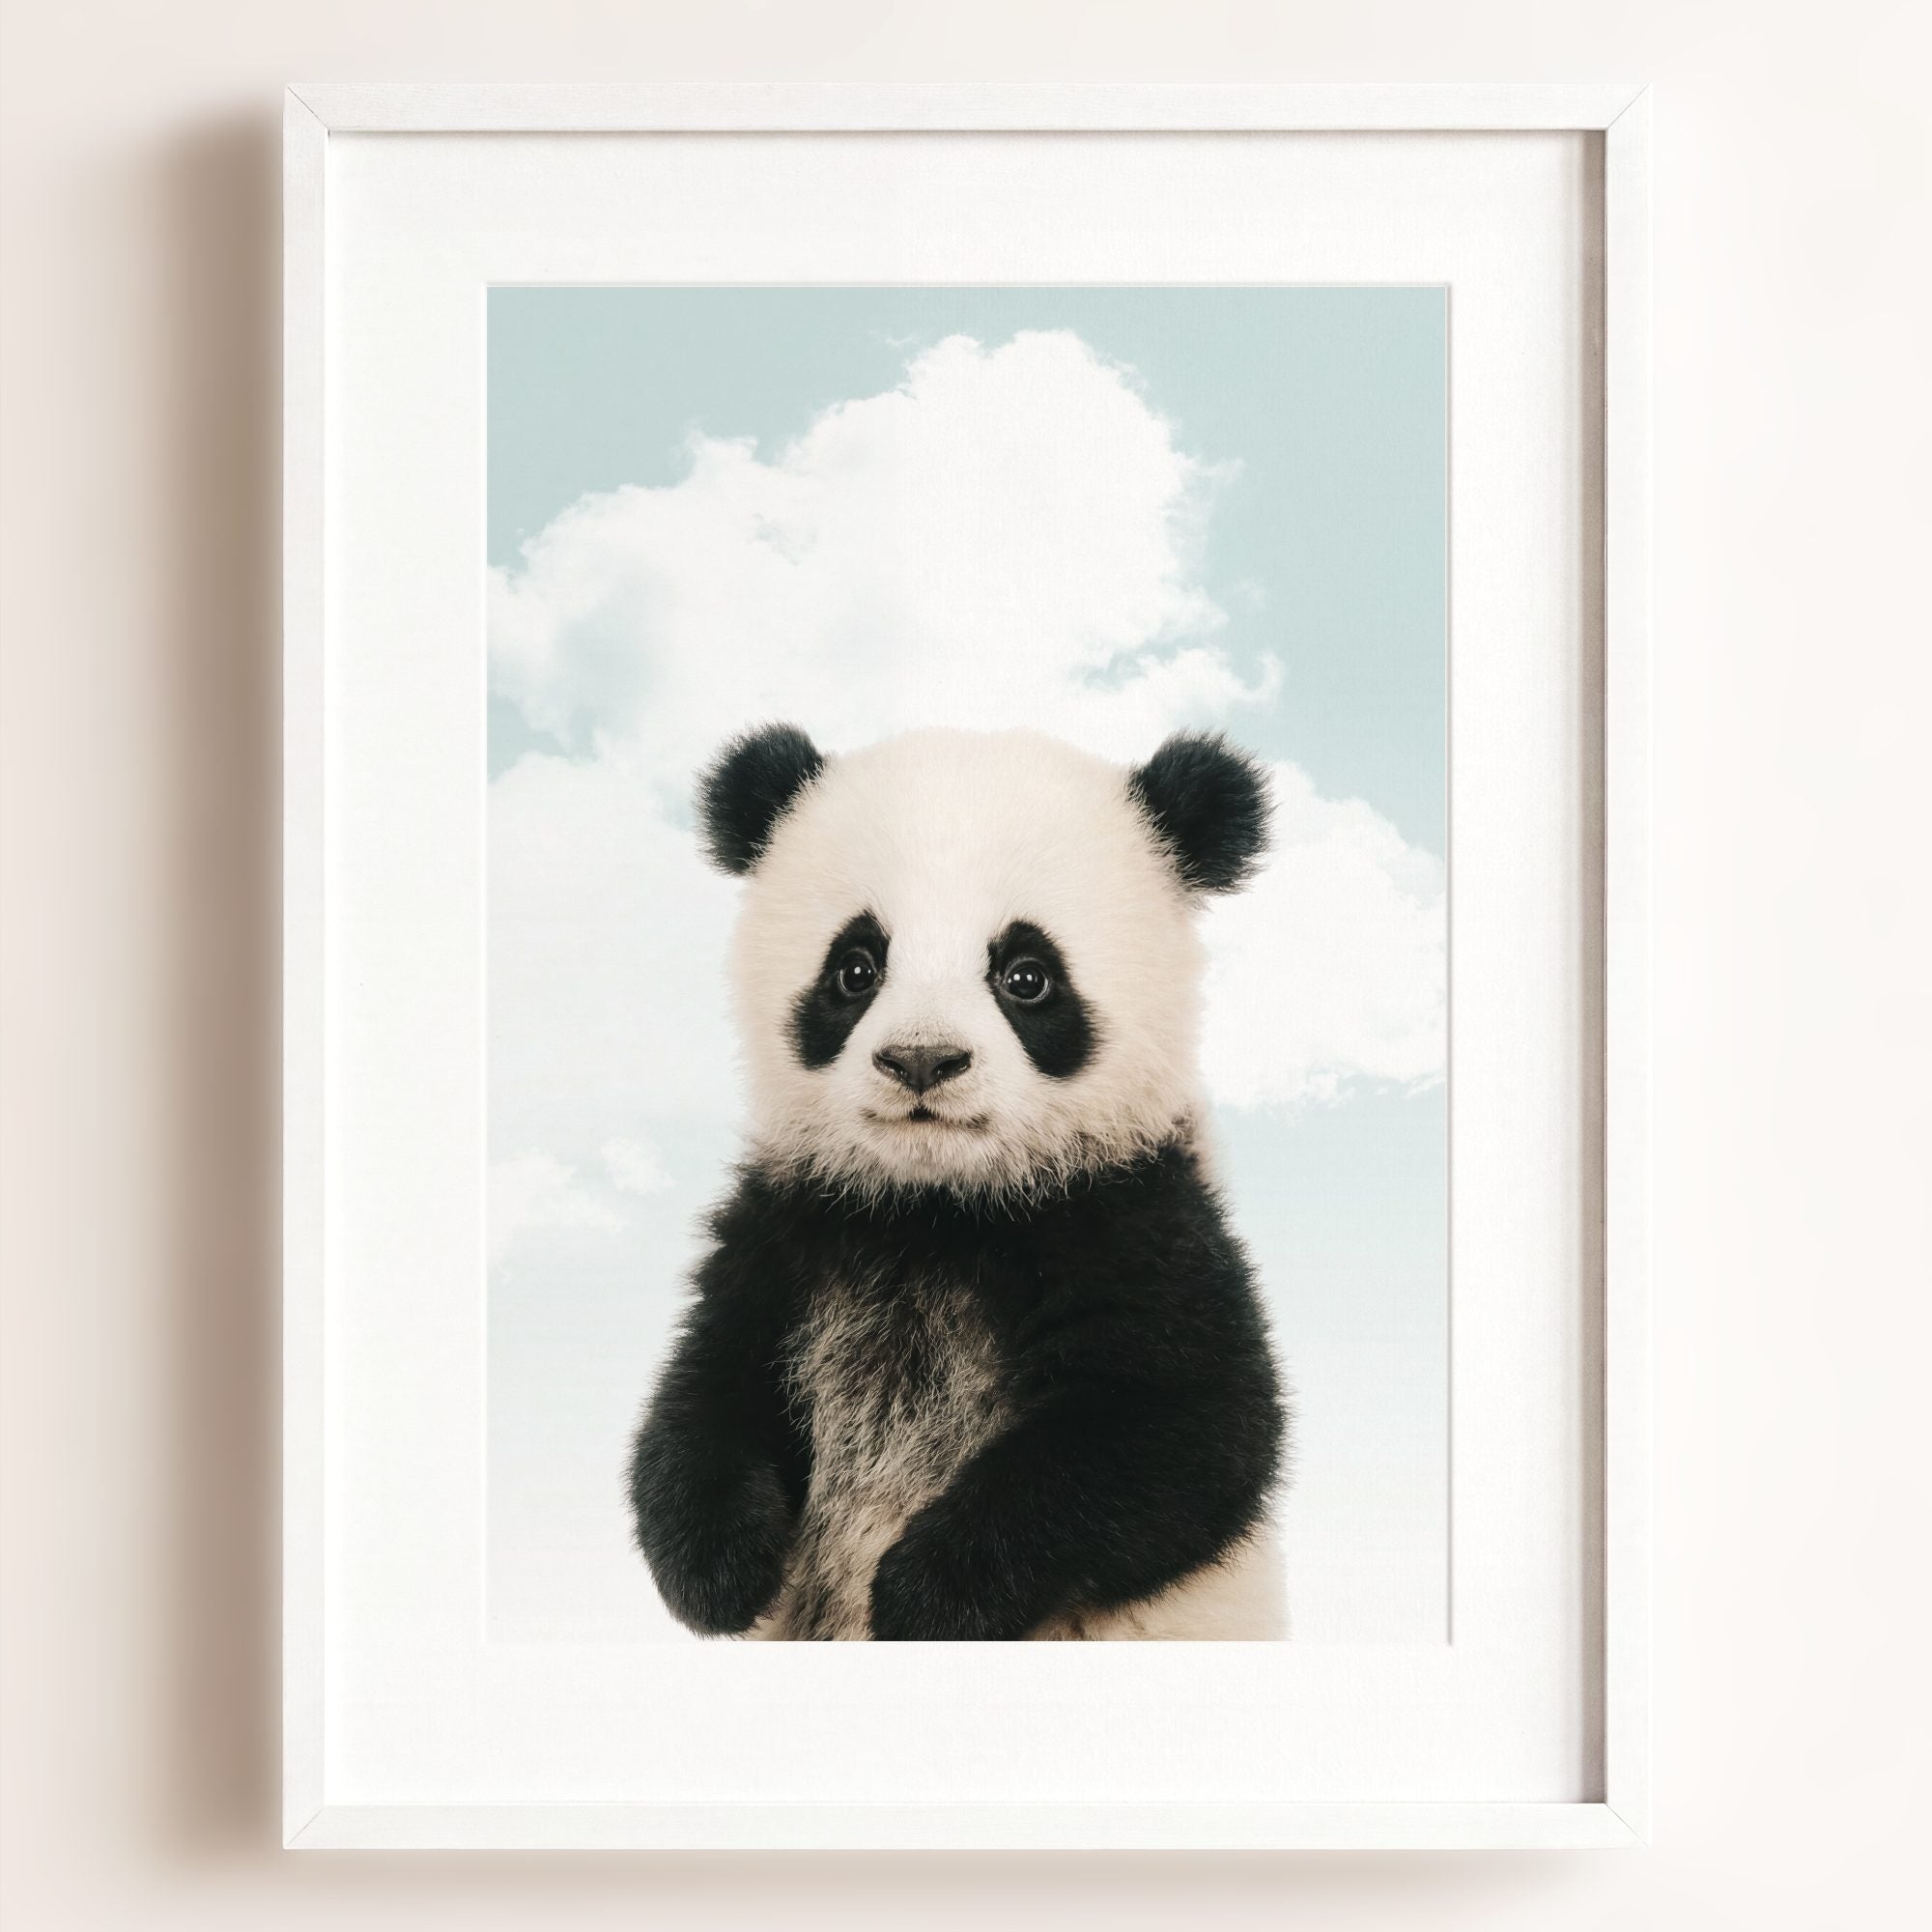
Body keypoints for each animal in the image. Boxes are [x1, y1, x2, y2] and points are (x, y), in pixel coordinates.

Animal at [627, 723, 1289, 1641]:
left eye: (1026, 975)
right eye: (856, 968)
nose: (921, 1060)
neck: (938, 1207)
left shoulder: (1136, 1219)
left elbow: (1183, 1432)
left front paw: (926, 1593)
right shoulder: (792, 1226)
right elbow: (710, 1388)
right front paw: (720, 1569)